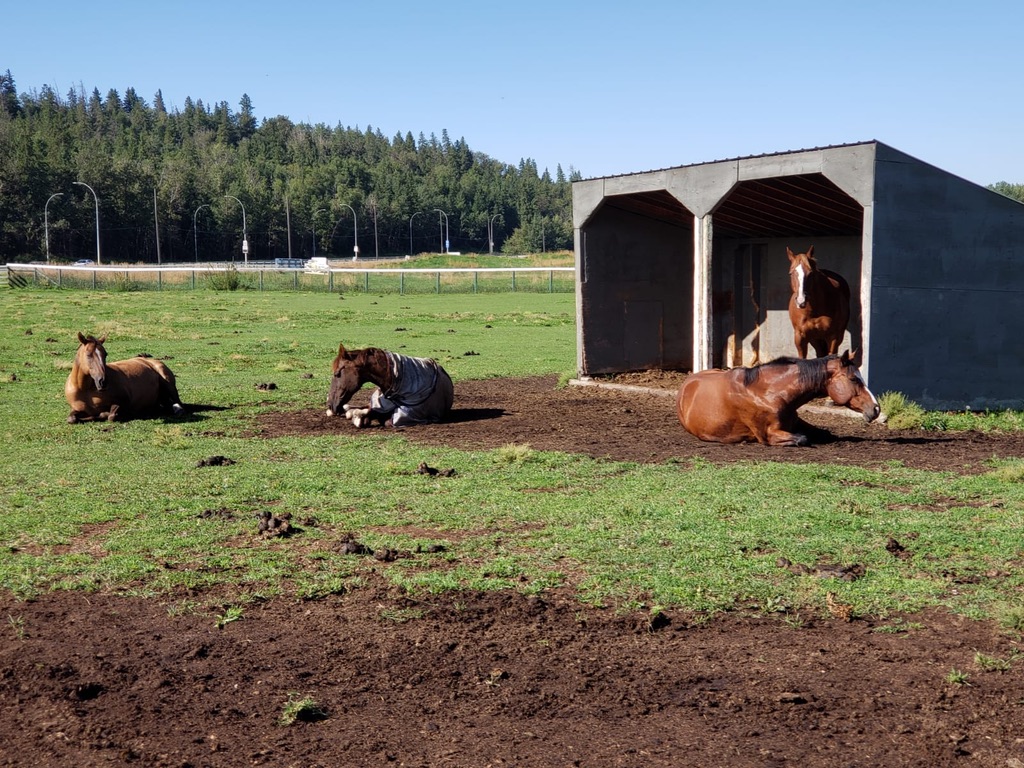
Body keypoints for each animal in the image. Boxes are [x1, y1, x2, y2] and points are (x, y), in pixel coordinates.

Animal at [671, 354, 880, 448]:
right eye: (853, 379)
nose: (876, 408)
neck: (768, 392)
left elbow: (824, 433)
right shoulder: (769, 435)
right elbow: (802, 438)